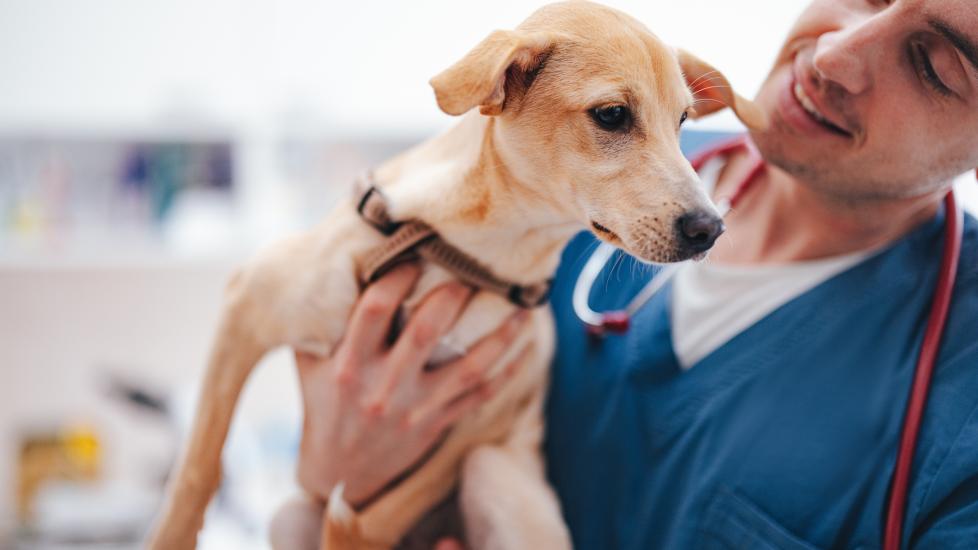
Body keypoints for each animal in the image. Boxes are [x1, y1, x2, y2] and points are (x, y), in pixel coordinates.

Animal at [149, 2, 768, 548]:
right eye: (612, 114)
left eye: (682, 121)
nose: (711, 228)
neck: (479, 248)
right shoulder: (247, 306)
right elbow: (199, 467)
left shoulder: (482, 421)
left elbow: (369, 519)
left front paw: (351, 530)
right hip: (290, 513)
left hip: (498, 477)